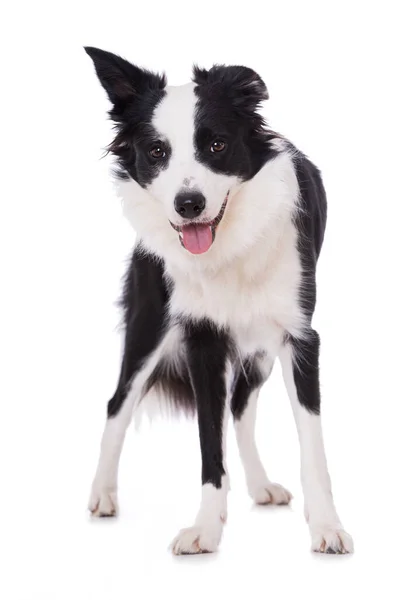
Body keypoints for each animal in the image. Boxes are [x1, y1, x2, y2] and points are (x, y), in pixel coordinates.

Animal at [85, 48, 354, 556]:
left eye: (216, 145)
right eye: (157, 152)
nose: (188, 204)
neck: (230, 247)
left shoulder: (300, 338)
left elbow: (311, 446)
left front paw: (327, 527)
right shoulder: (202, 341)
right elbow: (210, 444)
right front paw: (207, 528)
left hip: (259, 348)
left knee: (241, 407)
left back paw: (260, 486)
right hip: (149, 324)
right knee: (117, 403)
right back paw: (102, 494)